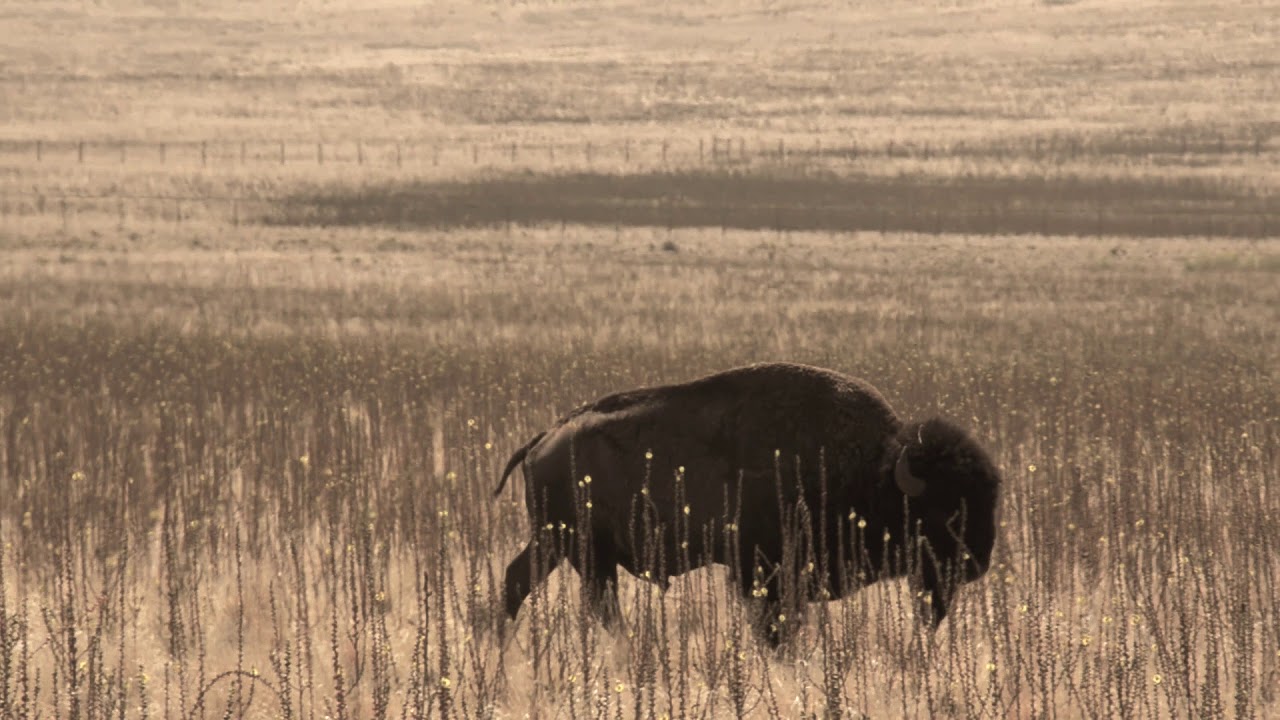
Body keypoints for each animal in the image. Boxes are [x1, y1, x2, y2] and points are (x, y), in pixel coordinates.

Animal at [495, 362, 1001, 645]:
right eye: (943, 509)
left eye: (989, 502)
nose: (977, 562)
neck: (872, 468)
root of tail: (544, 438)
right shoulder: (761, 570)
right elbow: (775, 627)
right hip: (583, 551)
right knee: (598, 606)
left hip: (554, 545)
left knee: (518, 581)